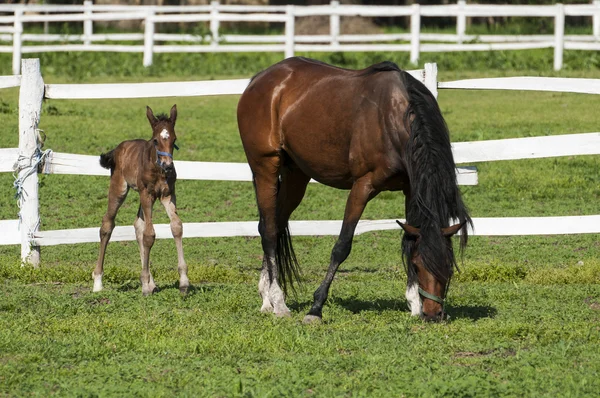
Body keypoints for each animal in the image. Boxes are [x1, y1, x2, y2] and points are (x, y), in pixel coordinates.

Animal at [92, 105, 188, 296]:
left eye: (174, 139)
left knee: (138, 225)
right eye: (155, 140)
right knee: (107, 224)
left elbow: (176, 227)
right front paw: (144, 285)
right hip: (120, 188)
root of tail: (118, 148)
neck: (158, 168)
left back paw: (151, 282)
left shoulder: (167, 195)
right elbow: (149, 235)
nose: (168, 166)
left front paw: (183, 282)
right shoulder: (147, 194)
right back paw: (98, 282)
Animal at [237, 56, 472, 324]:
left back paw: (267, 299)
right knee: (267, 230)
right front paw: (316, 308)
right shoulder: (363, 186)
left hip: (296, 174)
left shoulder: (411, 189)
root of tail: (260, 79)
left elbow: (408, 239)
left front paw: (413, 304)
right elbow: (342, 246)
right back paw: (278, 301)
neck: (395, 119)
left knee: (275, 225)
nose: (433, 314)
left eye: (449, 266)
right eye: (418, 265)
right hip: (265, 167)